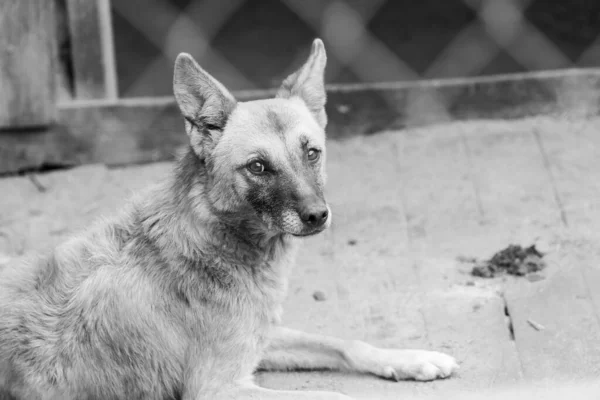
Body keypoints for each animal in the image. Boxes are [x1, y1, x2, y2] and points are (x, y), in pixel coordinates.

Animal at [0, 38, 458, 400]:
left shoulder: (263, 340)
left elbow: (347, 343)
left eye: (312, 153)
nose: (317, 216)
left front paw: (411, 359)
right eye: (257, 167)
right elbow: (336, 395)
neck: (214, 239)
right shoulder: (220, 388)